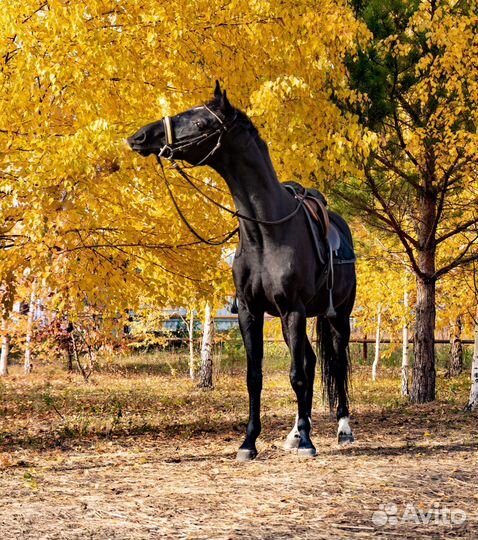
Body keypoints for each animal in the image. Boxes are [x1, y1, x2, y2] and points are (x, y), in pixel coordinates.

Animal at [129, 83, 356, 460]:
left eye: (200, 121)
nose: (141, 136)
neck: (266, 232)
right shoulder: (251, 312)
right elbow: (256, 377)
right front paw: (250, 442)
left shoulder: (292, 310)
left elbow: (297, 375)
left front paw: (308, 443)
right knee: (311, 362)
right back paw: (295, 433)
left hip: (337, 317)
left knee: (335, 366)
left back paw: (342, 430)